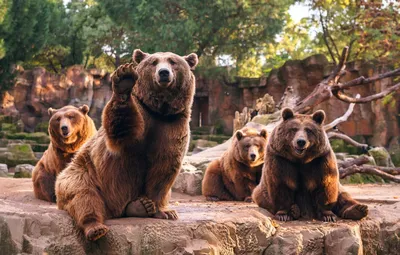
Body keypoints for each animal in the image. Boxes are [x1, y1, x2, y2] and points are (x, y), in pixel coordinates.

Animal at [55, 49, 199, 241]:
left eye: (173, 61)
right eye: (154, 62)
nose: (163, 73)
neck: (159, 111)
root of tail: (113, 210)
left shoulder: (172, 125)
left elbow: (164, 168)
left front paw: (165, 211)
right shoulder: (140, 117)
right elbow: (121, 130)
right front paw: (124, 79)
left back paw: (140, 206)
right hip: (82, 174)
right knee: (84, 197)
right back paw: (96, 228)